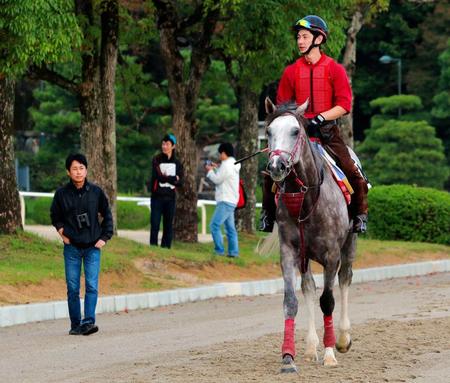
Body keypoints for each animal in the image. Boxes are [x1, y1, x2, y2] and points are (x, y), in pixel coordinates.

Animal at [264, 97, 356, 374]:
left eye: (296, 131)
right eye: (268, 132)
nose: (276, 166)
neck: (305, 198)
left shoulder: (331, 254)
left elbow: (328, 301)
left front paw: (330, 353)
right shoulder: (289, 251)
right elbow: (291, 301)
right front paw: (288, 357)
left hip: (350, 243)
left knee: (345, 279)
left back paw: (343, 337)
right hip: (305, 256)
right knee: (307, 287)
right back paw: (310, 346)